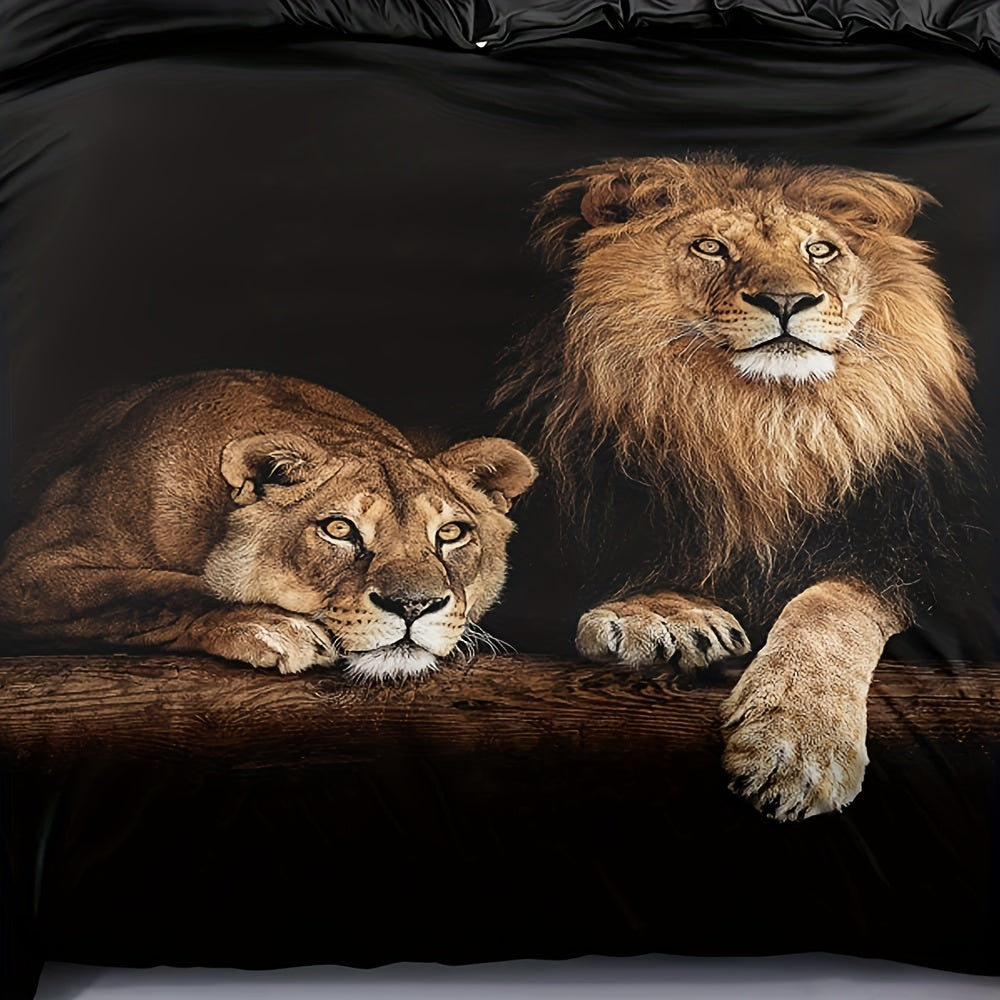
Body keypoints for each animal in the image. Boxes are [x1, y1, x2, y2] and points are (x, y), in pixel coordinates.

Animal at [0, 370, 536, 680]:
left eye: (451, 534)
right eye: (339, 529)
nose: (414, 606)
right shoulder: (27, 568)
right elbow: (158, 590)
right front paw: (274, 626)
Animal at [498, 154, 982, 820]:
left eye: (821, 250)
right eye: (710, 247)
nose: (787, 300)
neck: (760, 426)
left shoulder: (916, 551)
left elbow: (831, 607)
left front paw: (796, 743)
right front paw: (665, 614)